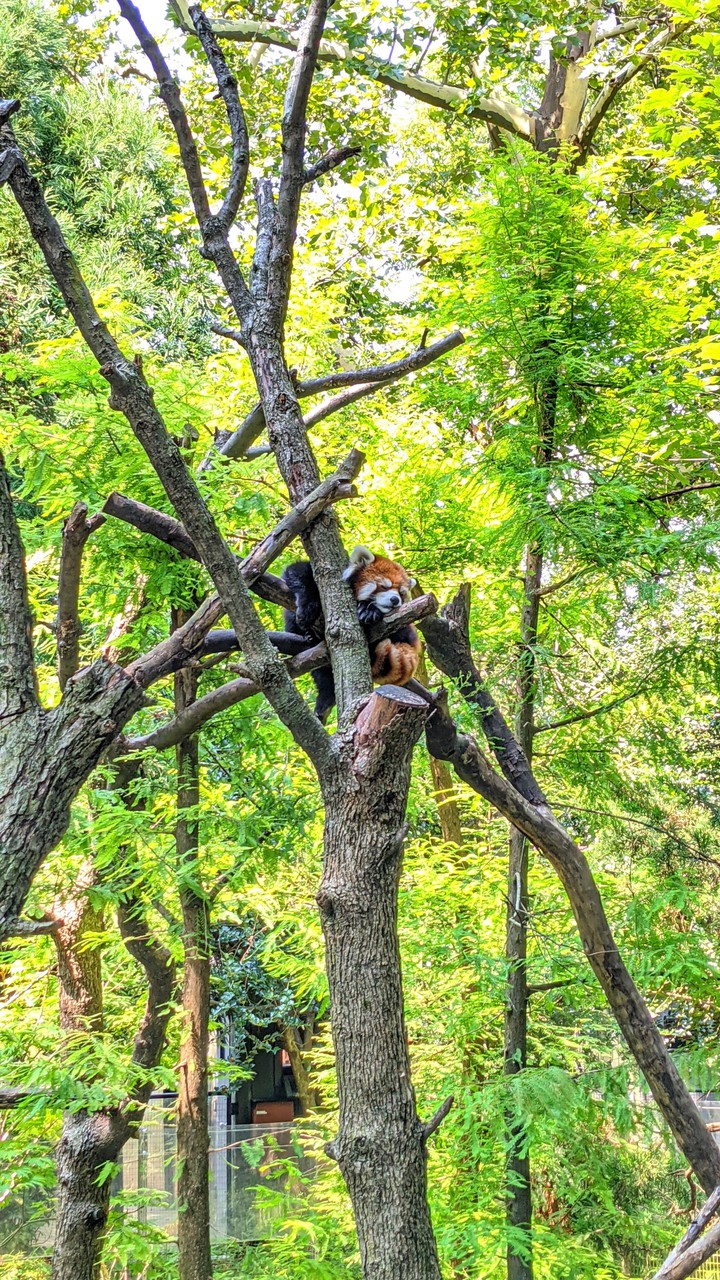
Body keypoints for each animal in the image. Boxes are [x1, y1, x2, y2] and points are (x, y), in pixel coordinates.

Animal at [282, 545, 421, 722]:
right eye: (384, 586)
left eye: (401, 593)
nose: (395, 600)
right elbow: (297, 571)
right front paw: (307, 610)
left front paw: (369, 611)